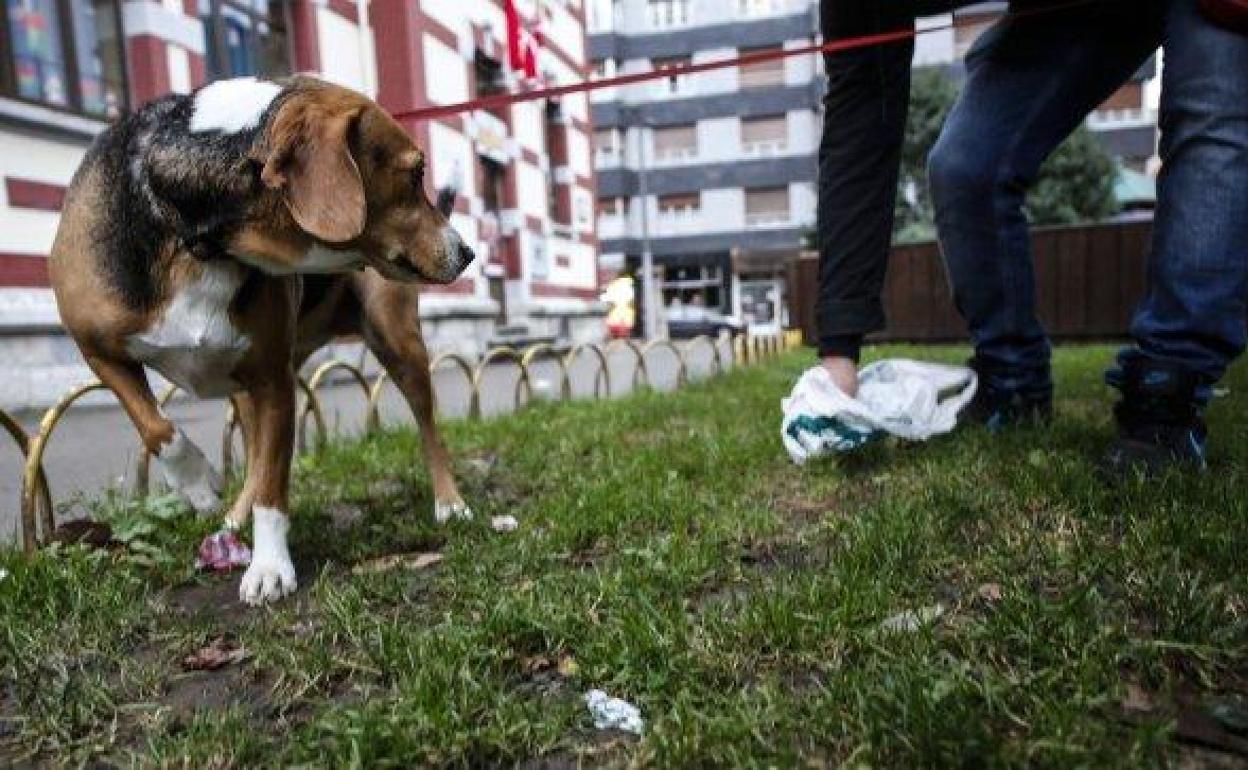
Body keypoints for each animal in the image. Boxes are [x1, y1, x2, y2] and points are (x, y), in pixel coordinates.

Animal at [48, 76, 471, 606]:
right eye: (415, 175)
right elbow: (157, 428)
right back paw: (230, 515)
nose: (467, 252)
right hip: (244, 389)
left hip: (398, 343)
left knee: (428, 428)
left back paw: (450, 503)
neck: (198, 241)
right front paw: (199, 484)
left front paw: (269, 567)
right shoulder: (98, 351)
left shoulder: (274, 383)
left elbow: (272, 487)